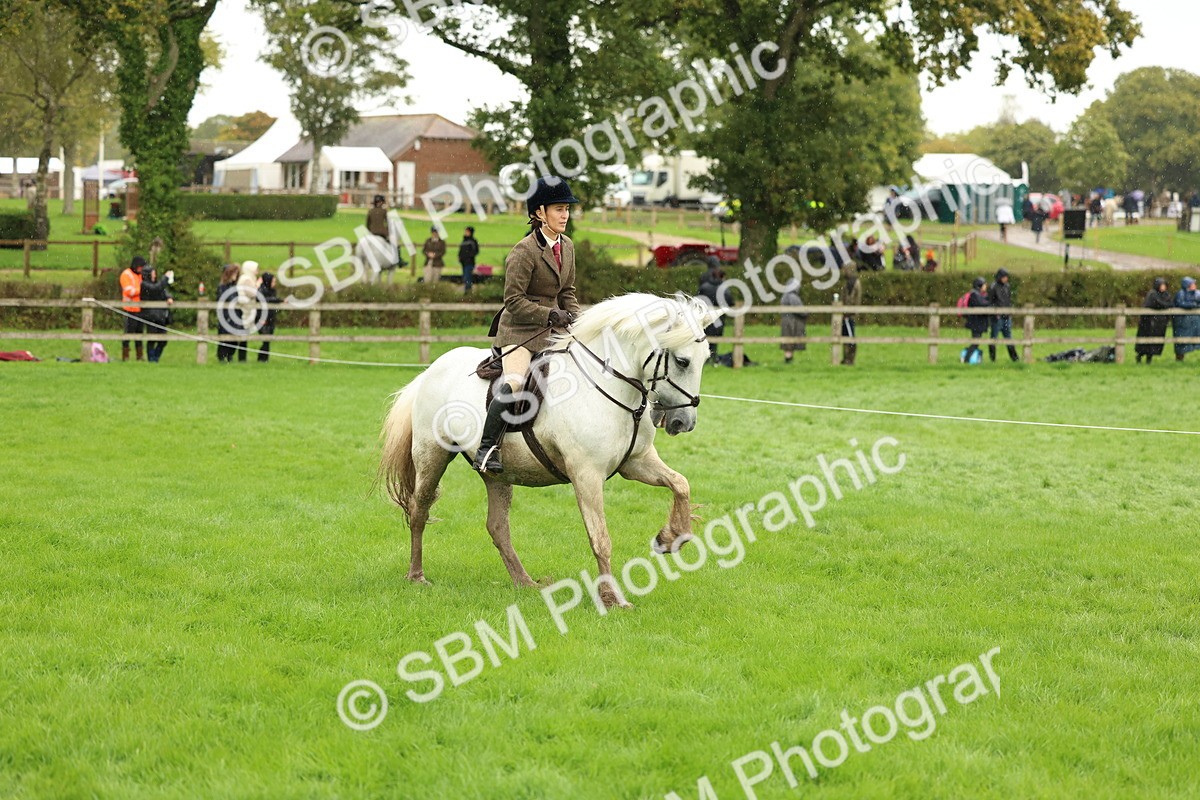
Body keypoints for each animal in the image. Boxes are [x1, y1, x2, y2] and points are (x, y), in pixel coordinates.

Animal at [378, 293, 721, 609]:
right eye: (682, 361)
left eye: (706, 358)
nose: (683, 422)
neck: (610, 387)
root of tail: (431, 370)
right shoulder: (587, 474)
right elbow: (601, 538)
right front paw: (612, 599)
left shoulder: (636, 463)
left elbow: (680, 485)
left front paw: (671, 537)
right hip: (432, 455)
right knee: (419, 511)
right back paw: (417, 576)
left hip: (497, 473)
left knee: (497, 526)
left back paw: (525, 582)